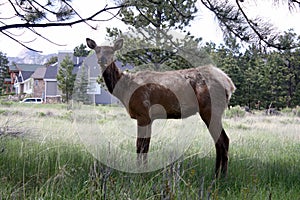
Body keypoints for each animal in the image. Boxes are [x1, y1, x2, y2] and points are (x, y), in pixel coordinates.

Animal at [85, 37, 236, 177]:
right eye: (97, 50)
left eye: (111, 51)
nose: (102, 60)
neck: (125, 88)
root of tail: (229, 82)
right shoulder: (148, 118)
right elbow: (145, 146)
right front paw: (143, 169)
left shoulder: (143, 113)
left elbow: (140, 145)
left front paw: (139, 172)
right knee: (221, 141)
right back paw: (219, 174)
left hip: (210, 109)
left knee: (222, 140)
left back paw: (219, 176)